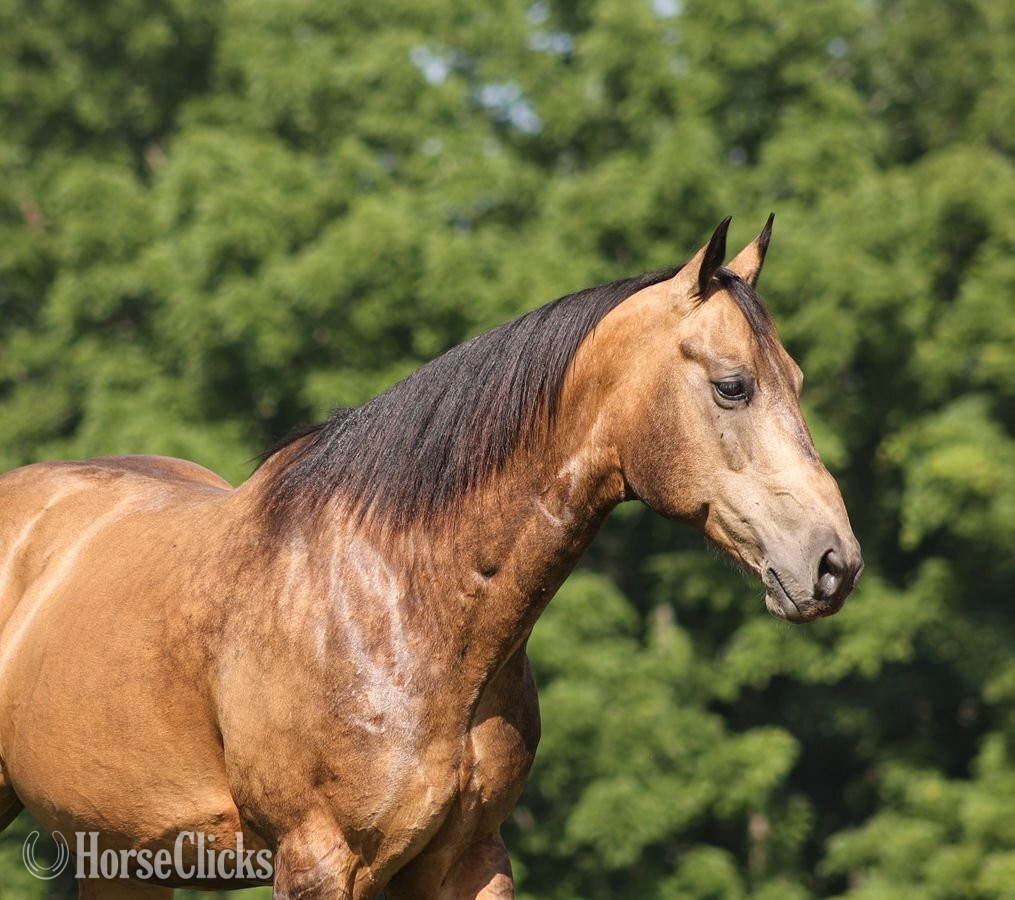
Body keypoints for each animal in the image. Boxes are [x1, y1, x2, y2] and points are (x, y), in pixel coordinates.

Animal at [0, 217, 861, 899]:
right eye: (732, 385)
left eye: (796, 378)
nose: (833, 563)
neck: (400, 601)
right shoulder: (316, 861)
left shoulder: (468, 859)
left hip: (124, 856)